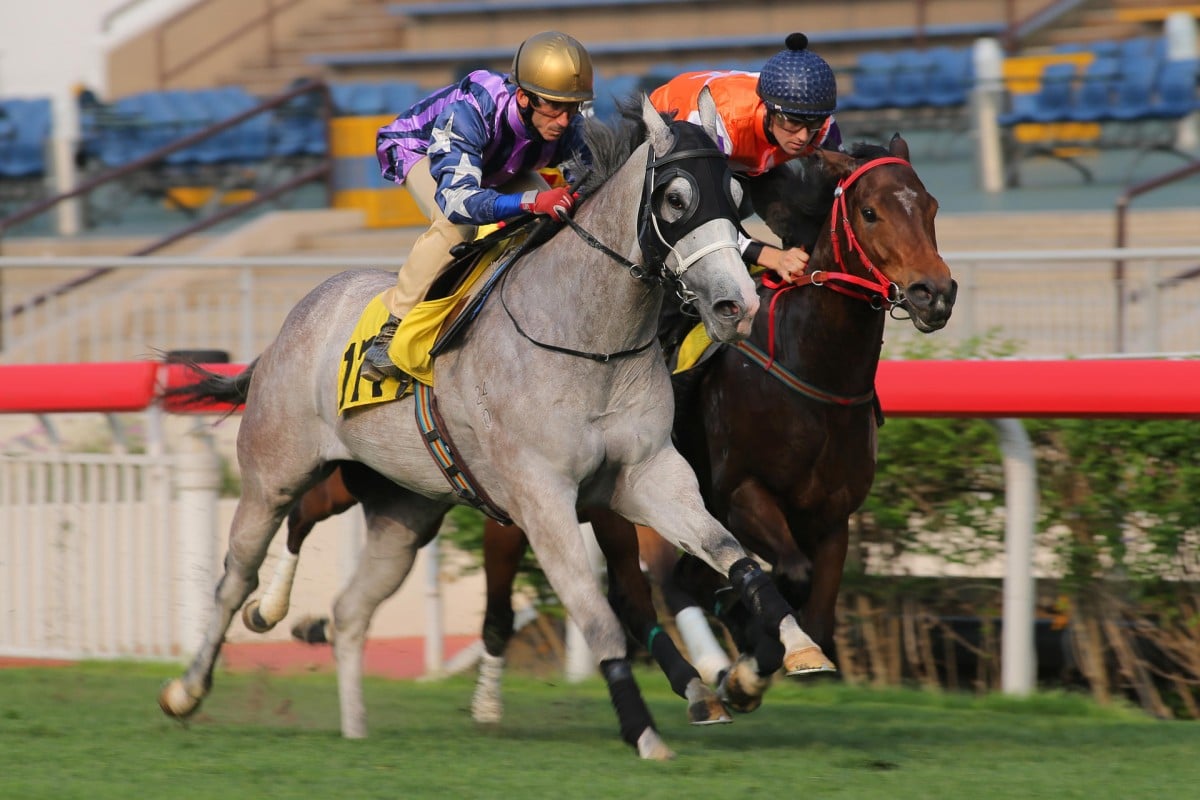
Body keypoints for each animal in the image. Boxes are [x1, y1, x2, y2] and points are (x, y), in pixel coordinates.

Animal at [248, 131, 950, 719]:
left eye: (931, 206)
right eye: (871, 212)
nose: (935, 294)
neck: (811, 375)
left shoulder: (831, 518)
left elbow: (810, 599)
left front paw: (765, 657)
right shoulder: (741, 493)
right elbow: (767, 573)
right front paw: (744, 664)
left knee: (635, 594)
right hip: (471, 503)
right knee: (331, 524)